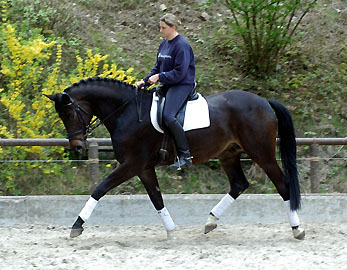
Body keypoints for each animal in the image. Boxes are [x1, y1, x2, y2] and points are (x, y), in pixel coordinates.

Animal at [45, 76, 304, 240]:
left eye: (69, 113)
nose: (77, 147)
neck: (126, 112)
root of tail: (264, 101)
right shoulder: (143, 168)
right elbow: (156, 198)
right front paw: (171, 231)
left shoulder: (131, 164)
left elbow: (100, 189)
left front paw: (77, 226)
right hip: (228, 154)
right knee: (239, 184)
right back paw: (210, 221)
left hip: (262, 153)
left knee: (283, 185)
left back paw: (297, 229)